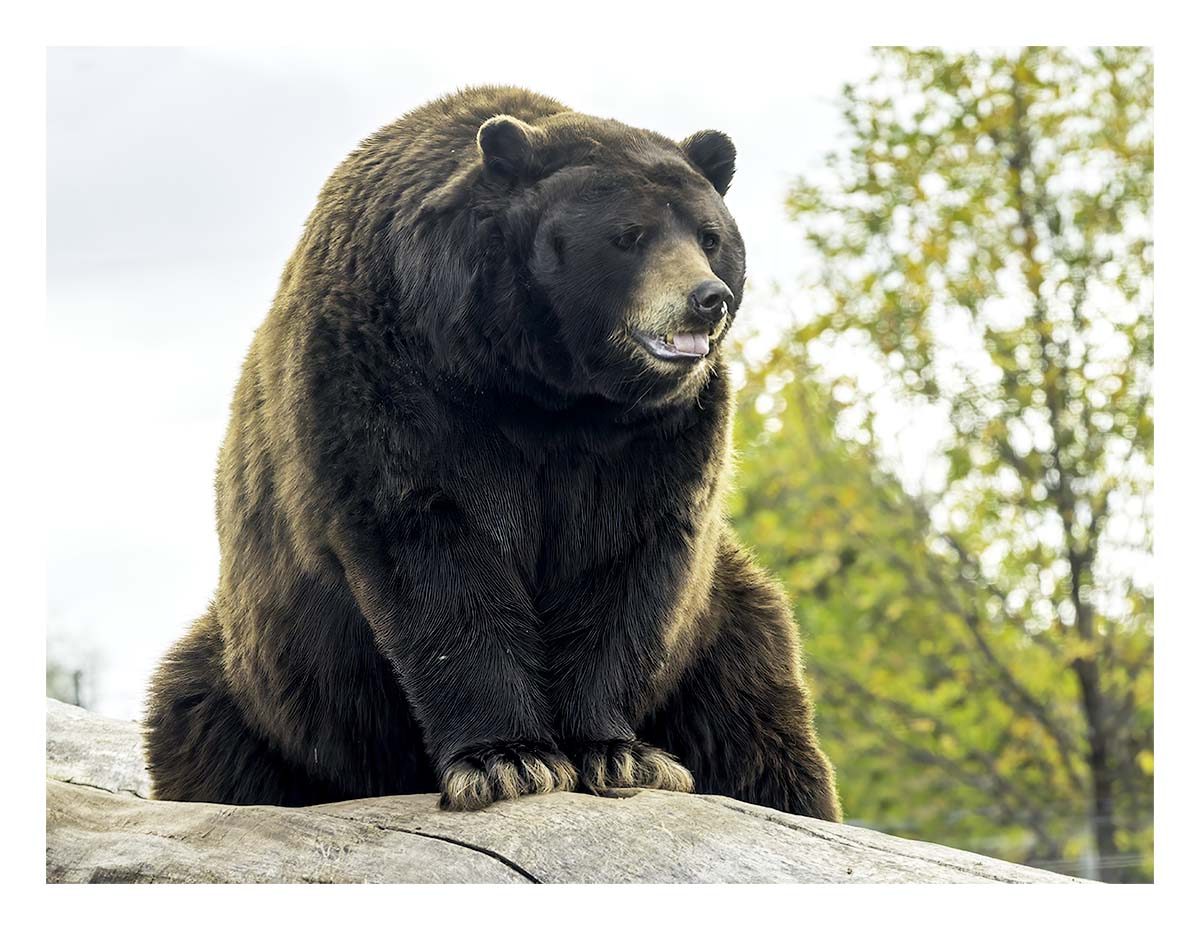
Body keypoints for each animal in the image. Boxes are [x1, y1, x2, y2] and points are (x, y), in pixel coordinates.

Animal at [144, 85, 841, 821]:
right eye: (629, 235)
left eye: (710, 236)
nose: (708, 299)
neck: (542, 385)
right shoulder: (395, 385)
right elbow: (432, 558)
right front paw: (508, 759)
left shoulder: (654, 436)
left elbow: (624, 568)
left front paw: (618, 752)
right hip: (272, 672)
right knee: (204, 718)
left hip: (722, 634)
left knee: (758, 731)